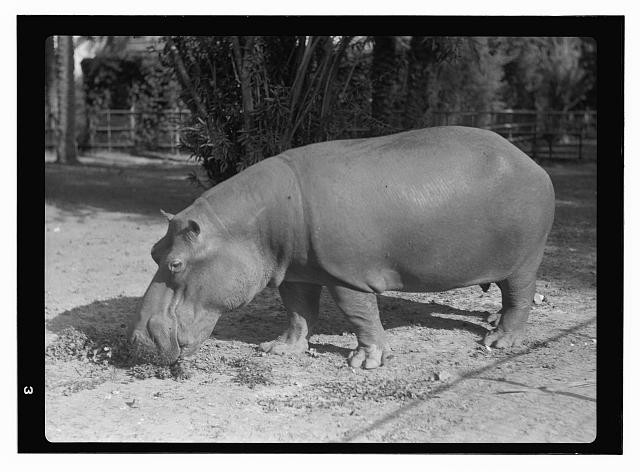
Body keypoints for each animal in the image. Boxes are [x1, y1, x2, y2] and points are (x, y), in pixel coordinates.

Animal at [128, 126, 555, 369]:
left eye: (176, 263)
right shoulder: (296, 272)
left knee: (520, 296)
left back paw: (499, 340)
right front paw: (280, 350)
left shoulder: (347, 275)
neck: (250, 224)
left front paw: (365, 362)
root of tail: (532, 162)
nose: (135, 340)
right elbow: (298, 312)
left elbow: (359, 315)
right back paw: (490, 322)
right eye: (153, 251)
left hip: (524, 260)